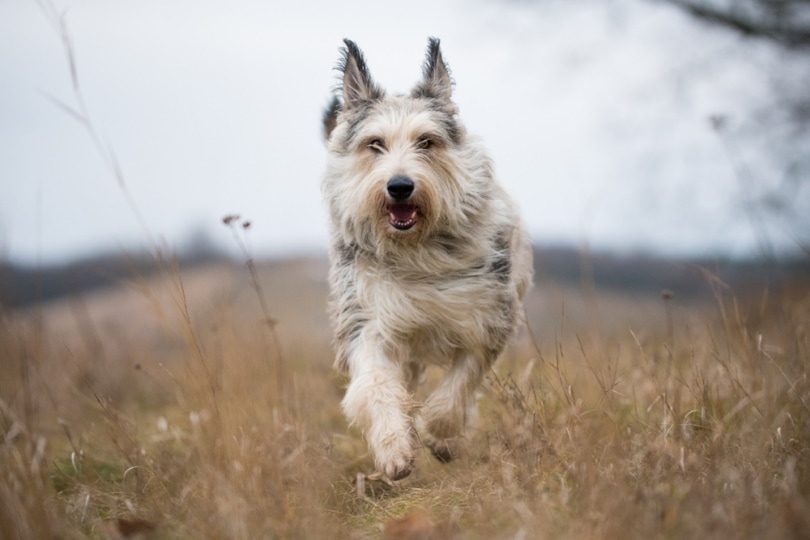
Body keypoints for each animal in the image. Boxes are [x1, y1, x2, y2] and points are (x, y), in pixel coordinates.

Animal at [318, 38, 532, 478]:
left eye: (427, 142)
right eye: (375, 144)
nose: (399, 186)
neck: (417, 250)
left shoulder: (487, 315)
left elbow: (461, 382)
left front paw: (438, 432)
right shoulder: (367, 317)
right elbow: (377, 384)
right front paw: (393, 448)